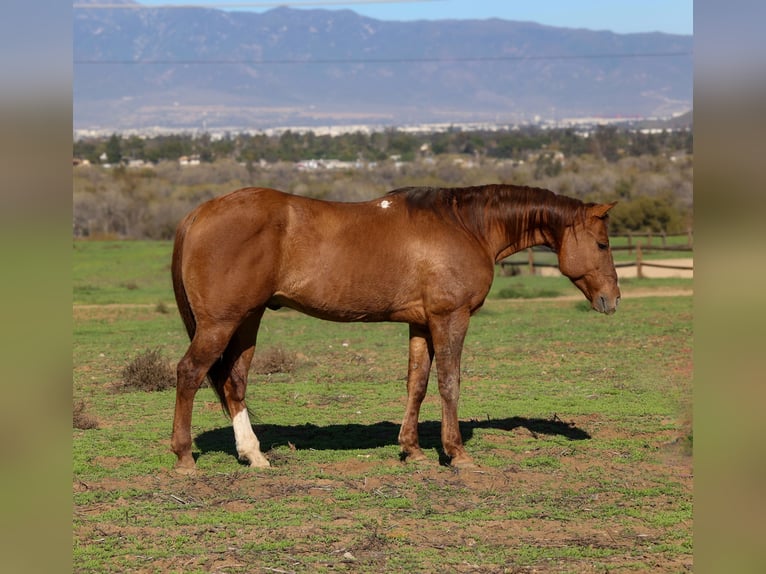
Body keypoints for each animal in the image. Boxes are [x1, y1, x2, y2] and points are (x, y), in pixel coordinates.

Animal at [170, 184, 620, 473]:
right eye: (602, 244)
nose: (612, 299)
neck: (465, 225)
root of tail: (198, 213)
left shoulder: (421, 323)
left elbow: (416, 384)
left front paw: (412, 451)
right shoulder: (450, 317)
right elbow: (449, 383)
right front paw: (457, 454)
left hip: (247, 321)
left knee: (234, 383)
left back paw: (254, 455)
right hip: (221, 324)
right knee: (190, 373)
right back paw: (184, 457)